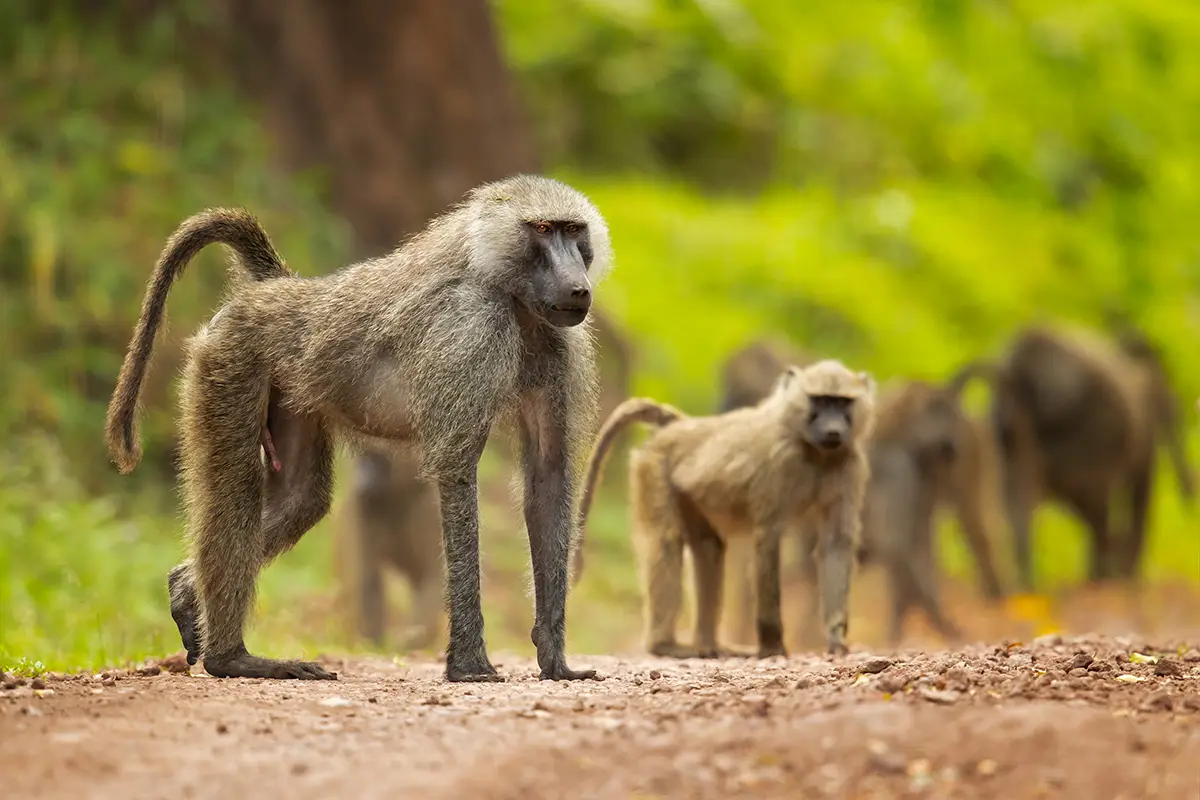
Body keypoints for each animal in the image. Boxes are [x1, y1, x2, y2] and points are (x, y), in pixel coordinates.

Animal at [104, 175, 611, 682]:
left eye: (574, 231)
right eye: (543, 229)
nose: (577, 289)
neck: (511, 297)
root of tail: (279, 290)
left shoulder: (555, 343)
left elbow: (547, 477)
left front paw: (554, 659)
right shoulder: (469, 329)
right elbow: (457, 470)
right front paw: (469, 664)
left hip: (290, 391)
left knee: (301, 499)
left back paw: (187, 593)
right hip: (226, 364)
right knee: (239, 490)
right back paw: (233, 658)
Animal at [576, 360, 876, 658]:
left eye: (842, 402)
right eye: (821, 401)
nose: (834, 431)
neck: (815, 452)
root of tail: (679, 427)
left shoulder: (850, 463)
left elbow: (836, 544)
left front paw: (836, 640)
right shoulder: (779, 463)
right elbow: (768, 540)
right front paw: (773, 646)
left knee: (708, 549)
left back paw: (709, 646)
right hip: (653, 469)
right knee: (667, 542)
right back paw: (665, 645)